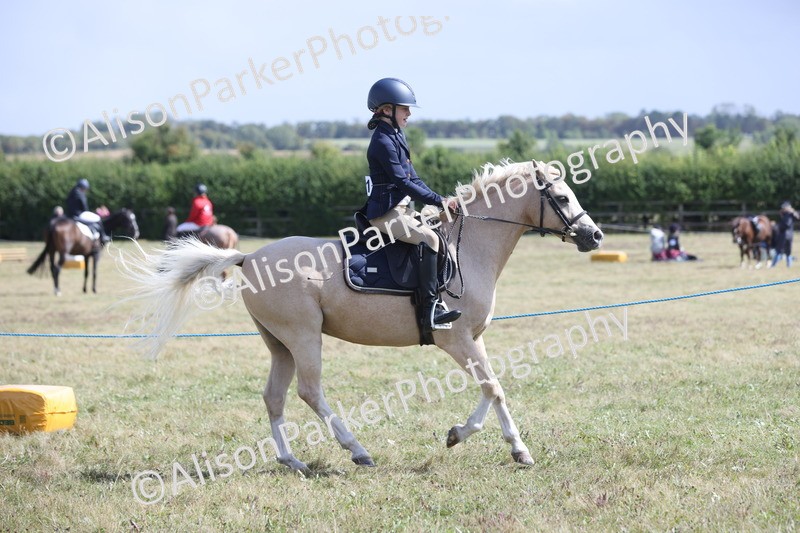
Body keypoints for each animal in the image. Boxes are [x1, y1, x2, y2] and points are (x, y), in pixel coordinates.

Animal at [117, 161, 603, 472]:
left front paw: (462, 435)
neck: (469, 247)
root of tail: (250, 256)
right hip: (303, 336)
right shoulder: (456, 338)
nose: (594, 236)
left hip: (279, 343)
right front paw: (515, 449)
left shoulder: (474, 339)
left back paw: (291, 460)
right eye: (562, 197)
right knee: (310, 392)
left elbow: (492, 387)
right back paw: (357, 451)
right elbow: (494, 386)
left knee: (274, 397)